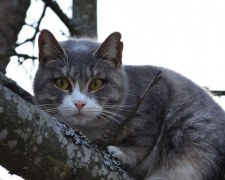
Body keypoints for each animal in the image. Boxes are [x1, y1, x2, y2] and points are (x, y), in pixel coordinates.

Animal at [33, 28, 225, 179]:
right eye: (62, 83)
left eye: (96, 83)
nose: (79, 103)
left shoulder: (155, 92)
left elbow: (141, 139)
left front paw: (121, 153)